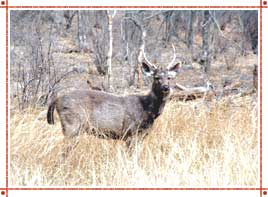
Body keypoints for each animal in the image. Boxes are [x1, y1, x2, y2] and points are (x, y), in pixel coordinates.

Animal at [47, 44, 181, 149]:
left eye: (169, 77)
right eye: (156, 77)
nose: (166, 87)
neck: (147, 109)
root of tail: (56, 99)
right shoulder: (130, 133)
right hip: (72, 125)